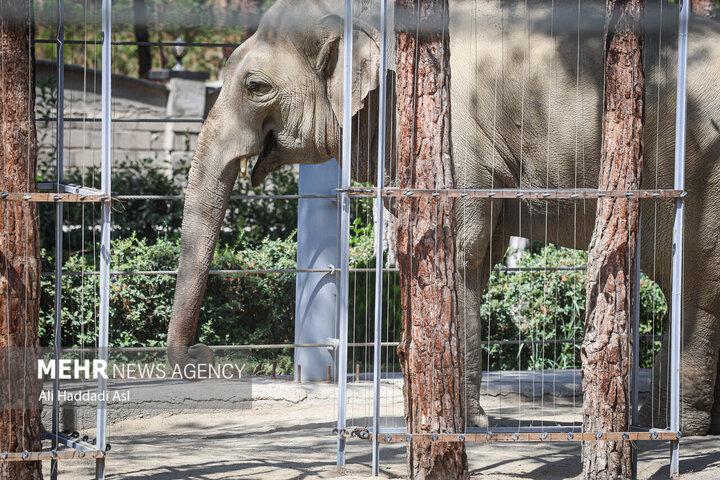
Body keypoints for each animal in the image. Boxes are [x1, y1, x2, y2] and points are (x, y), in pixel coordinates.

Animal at [166, 0, 720, 436]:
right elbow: (469, 255)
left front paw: (455, 425)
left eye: (255, 86)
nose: (201, 357)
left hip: (700, 173)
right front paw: (446, 422)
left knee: (695, 282)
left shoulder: (456, 139)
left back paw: (676, 428)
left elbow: (460, 250)